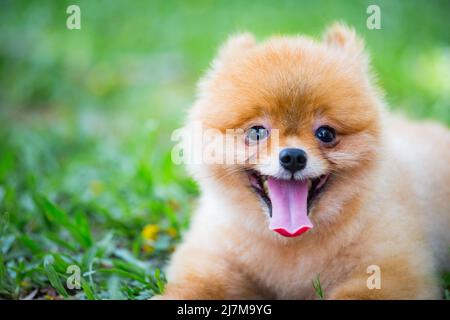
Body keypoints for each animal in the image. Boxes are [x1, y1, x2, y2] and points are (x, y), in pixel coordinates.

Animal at [158, 24, 450, 300]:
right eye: (256, 132)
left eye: (326, 133)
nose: (293, 157)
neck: (290, 244)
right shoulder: (214, 260)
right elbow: (193, 287)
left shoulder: (389, 272)